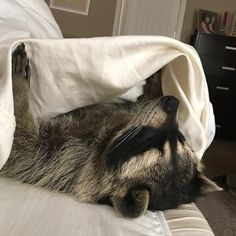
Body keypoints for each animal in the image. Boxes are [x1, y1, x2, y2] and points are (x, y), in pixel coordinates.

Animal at [0, 43, 221, 218]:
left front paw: (18, 91)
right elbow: (143, 102)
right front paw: (159, 74)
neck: (109, 138)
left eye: (148, 142)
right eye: (180, 136)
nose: (174, 102)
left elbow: (21, 143)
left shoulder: (61, 160)